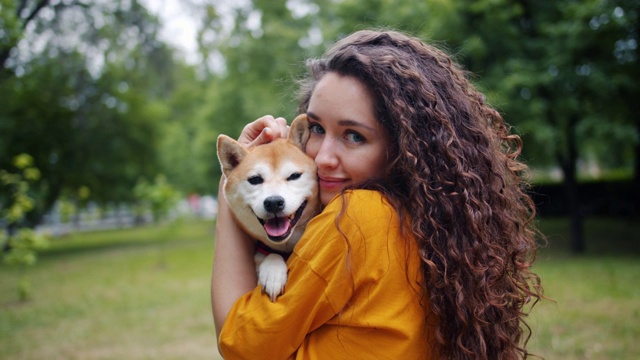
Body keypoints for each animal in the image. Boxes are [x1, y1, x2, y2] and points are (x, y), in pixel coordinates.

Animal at [218, 114, 320, 300]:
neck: (285, 248)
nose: (273, 202)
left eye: (294, 176)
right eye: (255, 179)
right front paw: (273, 271)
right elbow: (271, 255)